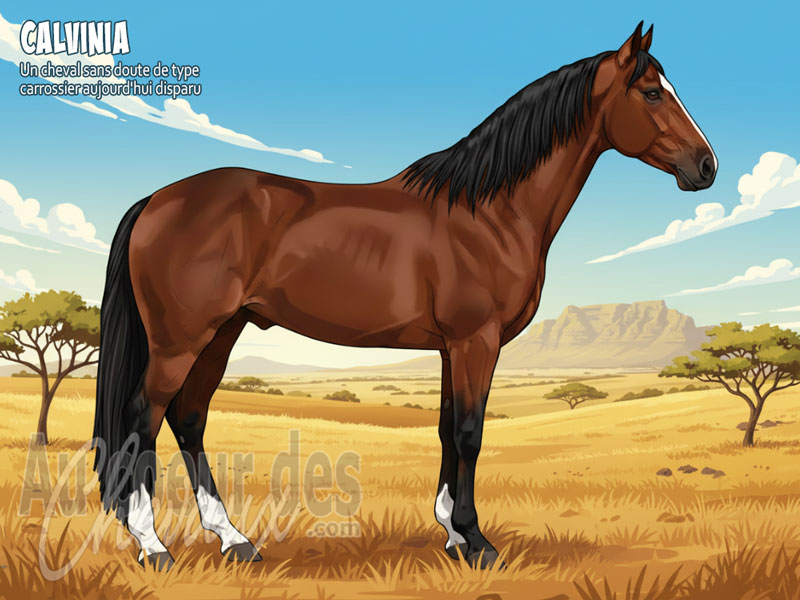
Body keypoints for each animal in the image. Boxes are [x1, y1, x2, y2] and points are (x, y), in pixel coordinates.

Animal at [93, 22, 716, 571]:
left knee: (188, 418)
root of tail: (156, 200)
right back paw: (153, 545)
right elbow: (470, 432)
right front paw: (477, 541)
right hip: (180, 340)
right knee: (142, 417)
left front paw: (452, 534)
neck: (489, 211)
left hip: (222, 332)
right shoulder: (476, 340)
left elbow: (446, 428)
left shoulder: (450, 347)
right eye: (652, 92)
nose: (706, 166)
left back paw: (234, 539)